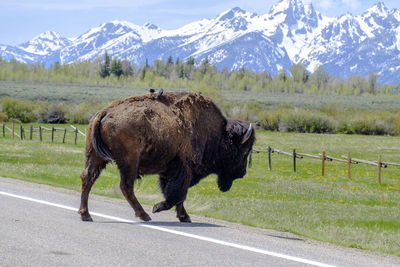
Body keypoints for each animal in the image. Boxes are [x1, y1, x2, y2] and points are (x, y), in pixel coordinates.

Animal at [78, 91, 255, 223]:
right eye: (244, 150)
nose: (242, 173)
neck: (217, 134)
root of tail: (104, 112)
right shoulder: (184, 170)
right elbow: (177, 194)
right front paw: (159, 208)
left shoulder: (171, 172)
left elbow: (177, 195)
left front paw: (184, 217)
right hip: (129, 162)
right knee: (126, 186)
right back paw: (144, 215)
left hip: (95, 157)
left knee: (88, 178)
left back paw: (85, 215)